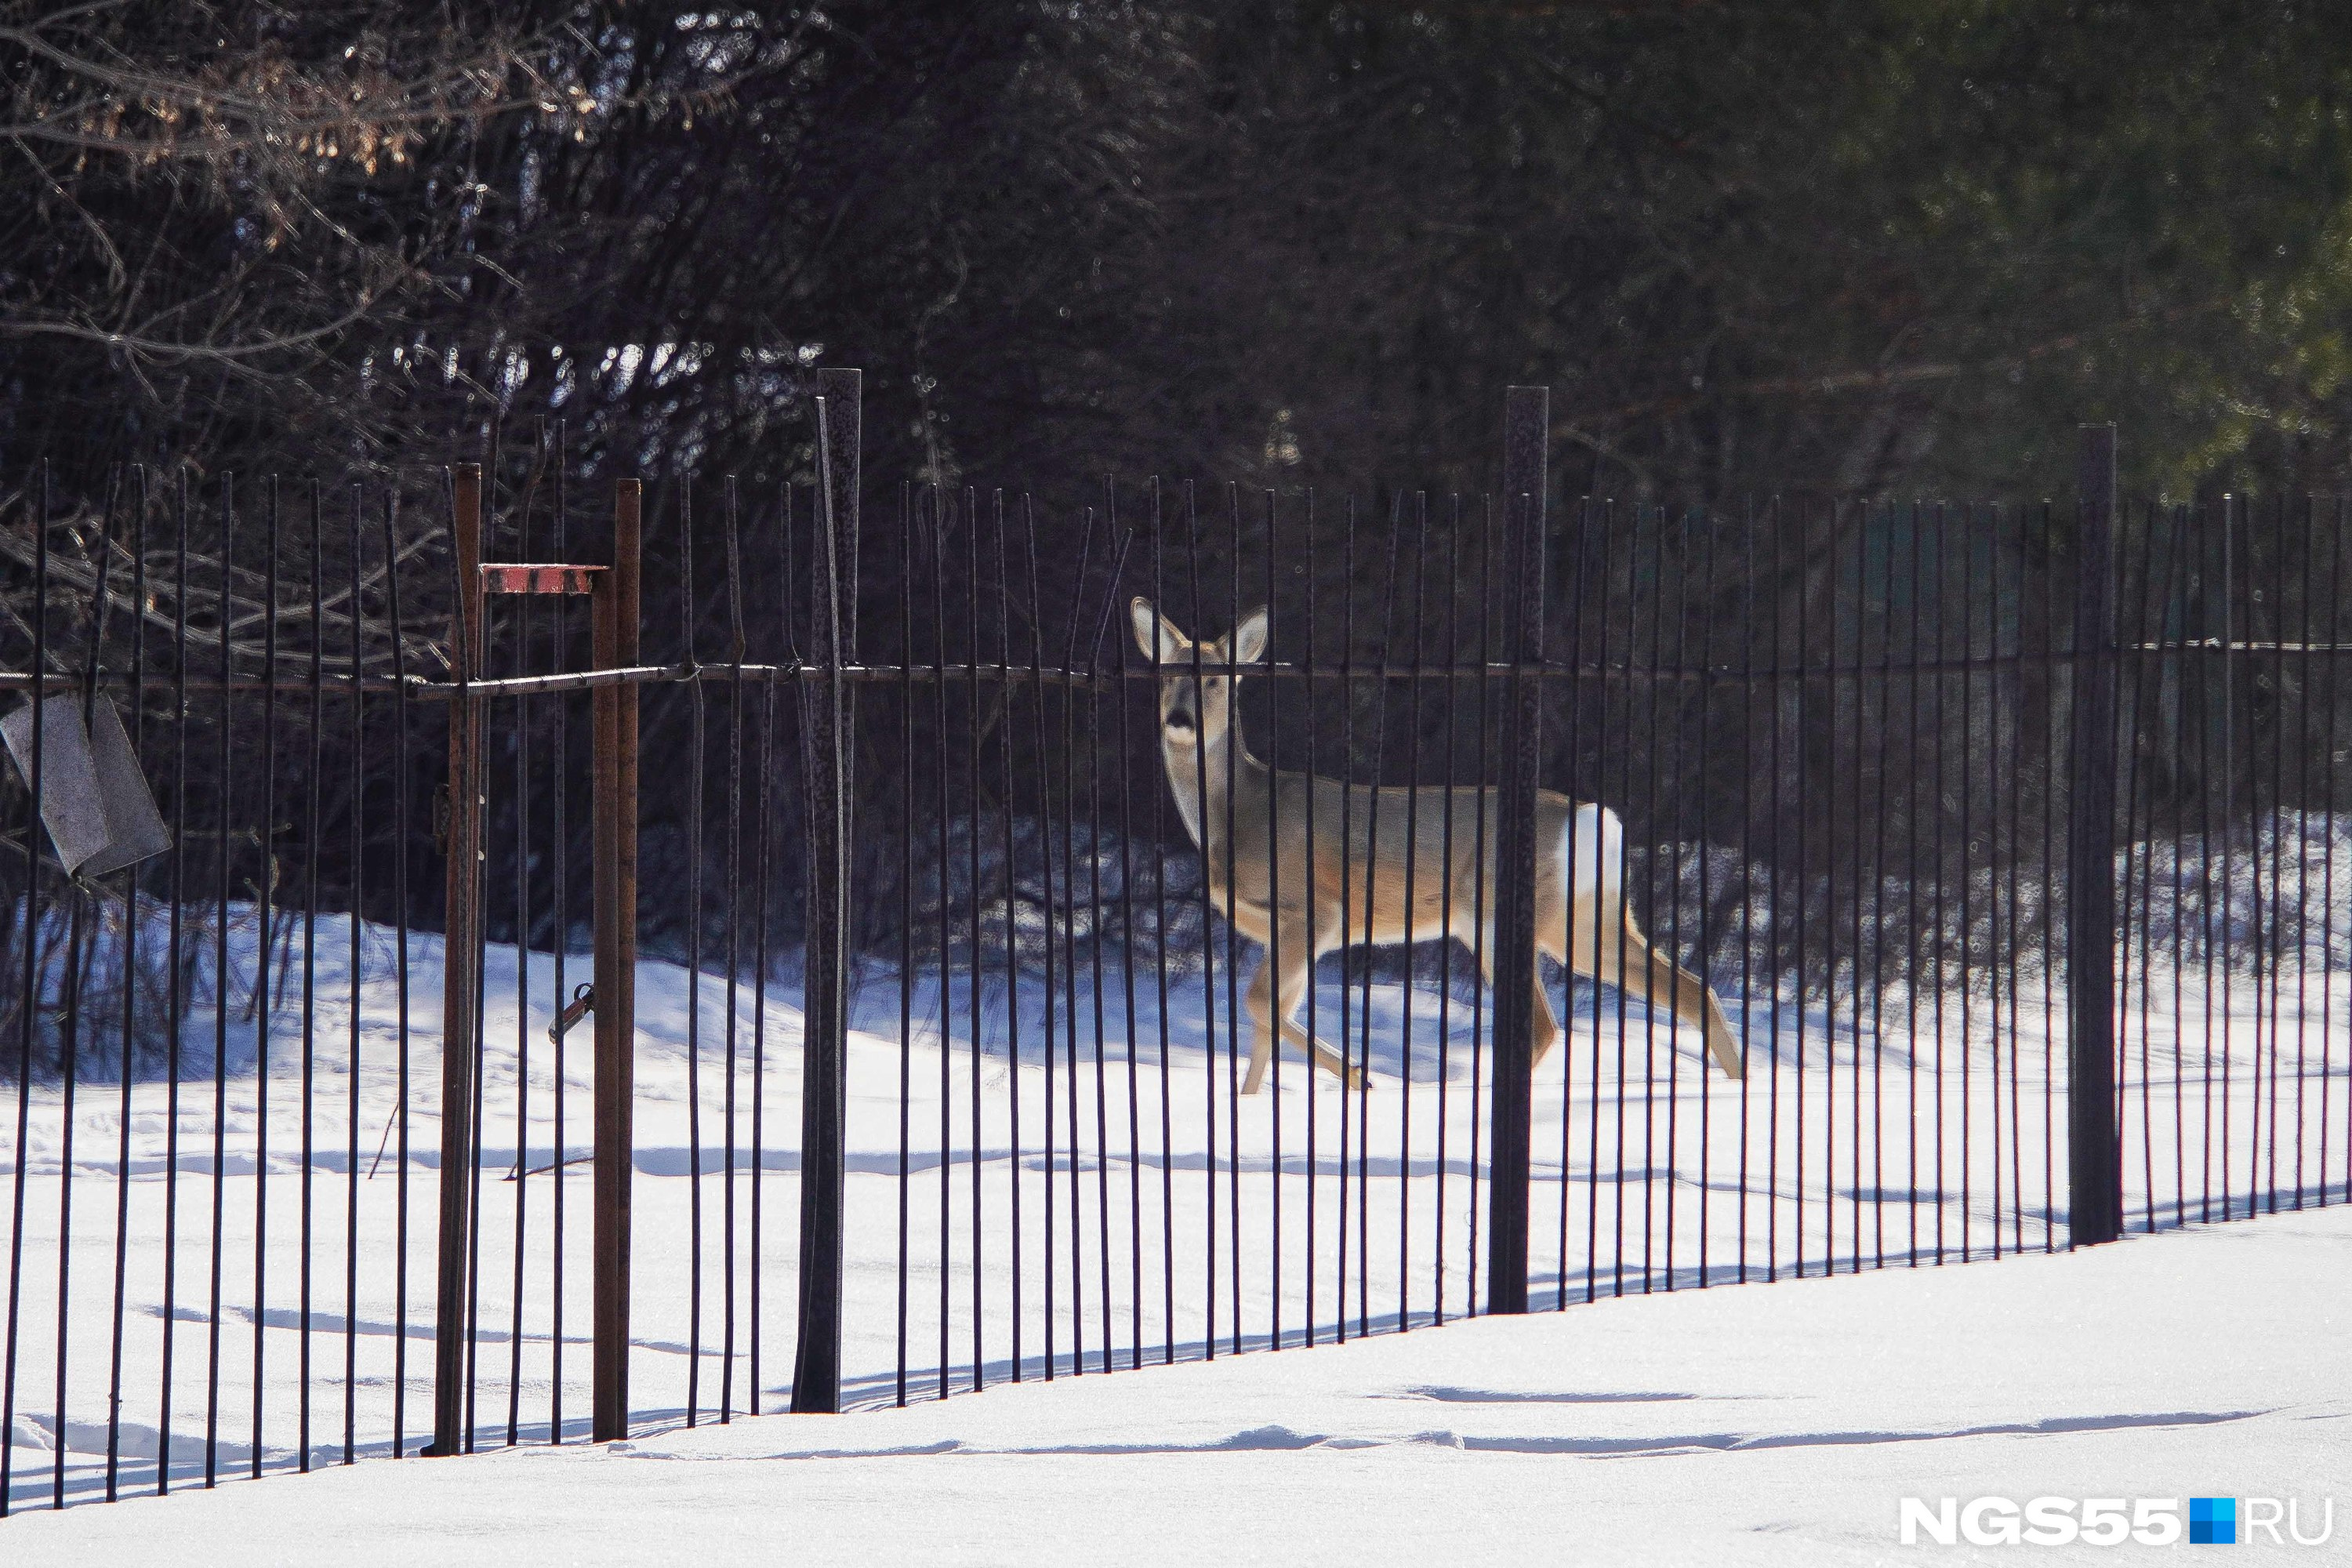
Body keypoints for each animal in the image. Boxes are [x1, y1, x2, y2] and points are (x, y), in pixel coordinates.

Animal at [1138, 594, 1750, 1100]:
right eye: (1167, 677)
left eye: (1217, 681)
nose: (1179, 719)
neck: (1237, 817)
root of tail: (1597, 820)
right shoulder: (1281, 932)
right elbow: (1265, 1025)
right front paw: (1253, 1104)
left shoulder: (1315, 911)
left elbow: (1259, 1003)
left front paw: (1361, 1074)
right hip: (1585, 915)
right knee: (1692, 990)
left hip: (1518, 917)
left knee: (1546, 1024)